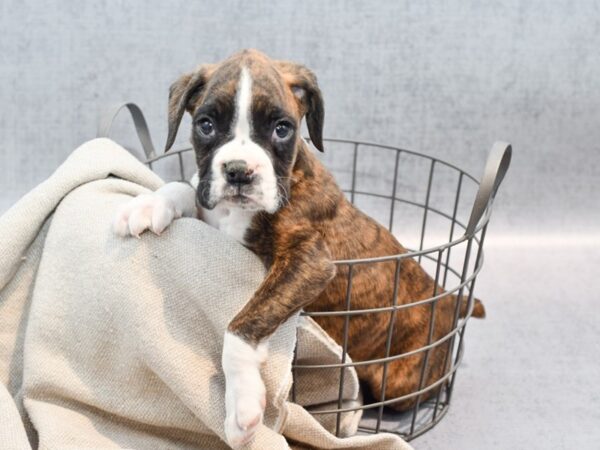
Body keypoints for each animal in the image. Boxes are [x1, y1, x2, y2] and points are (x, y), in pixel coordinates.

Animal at [113, 50, 488, 446]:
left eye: (282, 128)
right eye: (206, 125)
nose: (238, 172)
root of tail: (449, 298)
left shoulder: (310, 262)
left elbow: (241, 326)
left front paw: (243, 403)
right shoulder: (214, 211)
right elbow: (188, 186)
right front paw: (148, 205)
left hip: (399, 379)